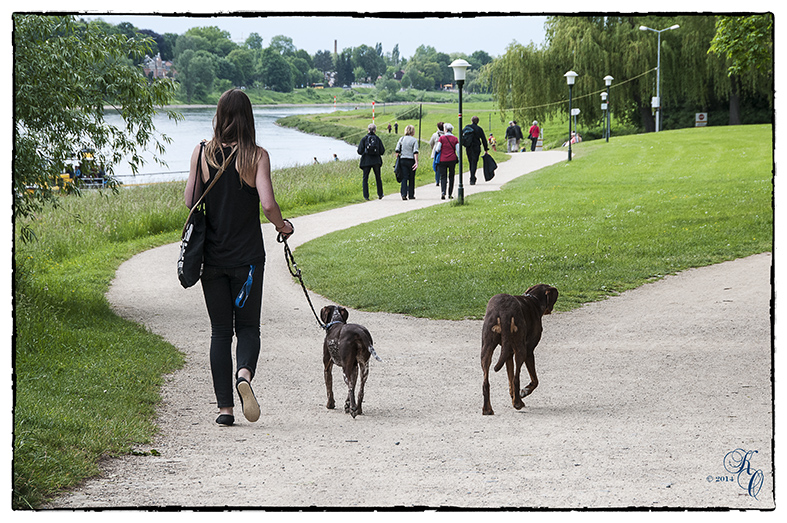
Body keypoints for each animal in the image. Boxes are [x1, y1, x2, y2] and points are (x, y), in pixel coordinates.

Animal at [480, 284, 560, 416]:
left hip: (487, 347)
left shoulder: (507, 353)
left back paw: (488, 409)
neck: (533, 299)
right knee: (517, 377)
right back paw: (518, 403)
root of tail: (504, 311)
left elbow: (510, 379)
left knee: (486, 382)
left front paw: (513, 396)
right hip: (520, 349)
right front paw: (524, 391)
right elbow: (534, 380)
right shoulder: (529, 351)